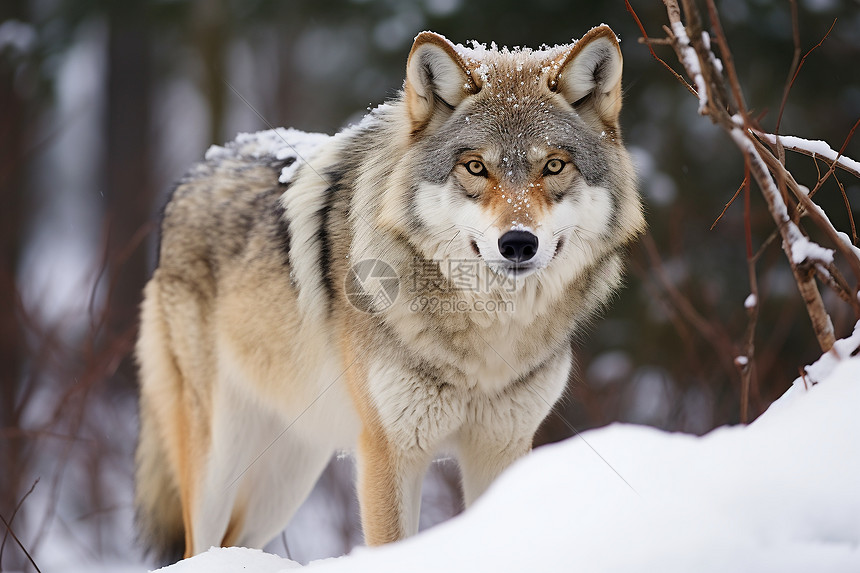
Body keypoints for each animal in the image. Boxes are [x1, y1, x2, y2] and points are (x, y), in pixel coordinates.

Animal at [134, 23, 644, 560]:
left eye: (553, 166)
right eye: (475, 167)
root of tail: (197, 171)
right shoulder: (390, 450)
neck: (486, 341)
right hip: (222, 459)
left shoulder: (502, 447)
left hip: (289, 474)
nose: (519, 243)